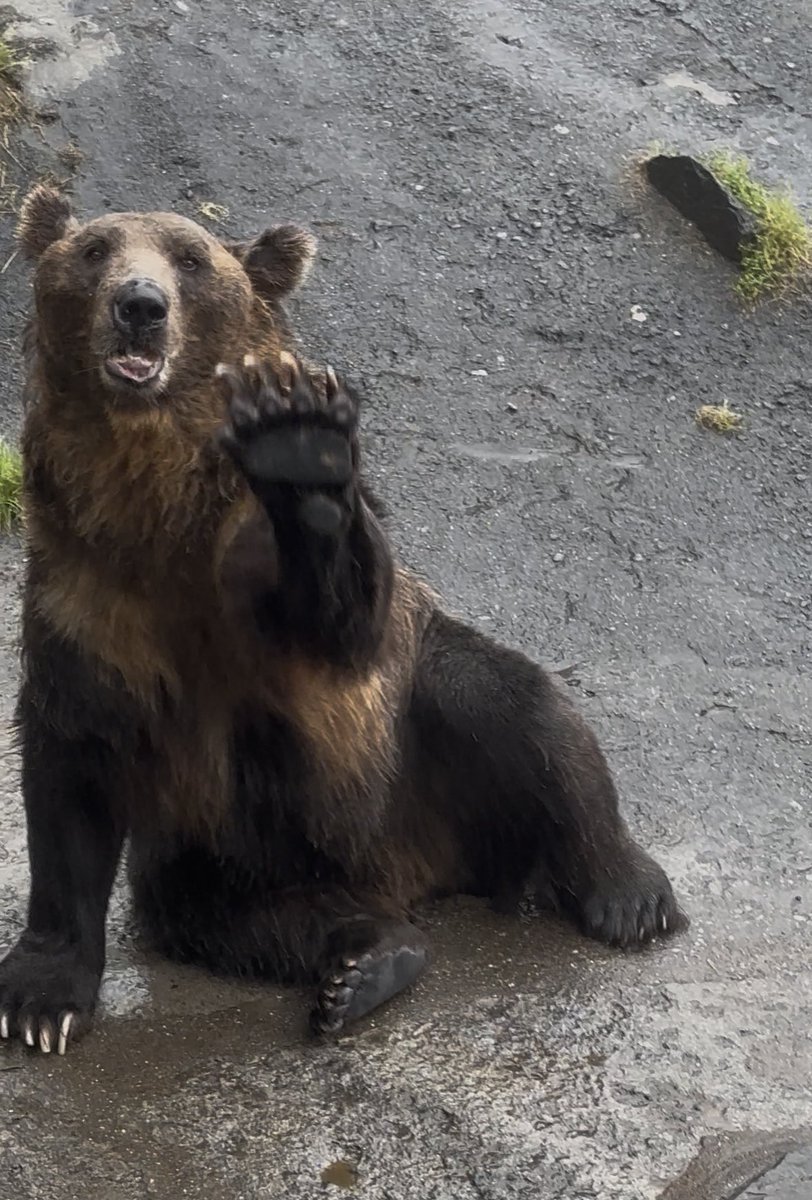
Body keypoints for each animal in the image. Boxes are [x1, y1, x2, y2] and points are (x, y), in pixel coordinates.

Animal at [0, 185, 687, 1056]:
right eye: (93, 251)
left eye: (191, 258)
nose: (140, 306)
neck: (155, 502)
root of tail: (412, 870)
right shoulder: (84, 593)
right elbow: (69, 772)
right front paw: (41, 1002)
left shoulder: (266, 576)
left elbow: (336, 619)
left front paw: (301, 443)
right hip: (221, 846)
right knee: (229, 913)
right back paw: (366, 962)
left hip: (414, 730)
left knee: (518, 707)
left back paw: (629, 893)